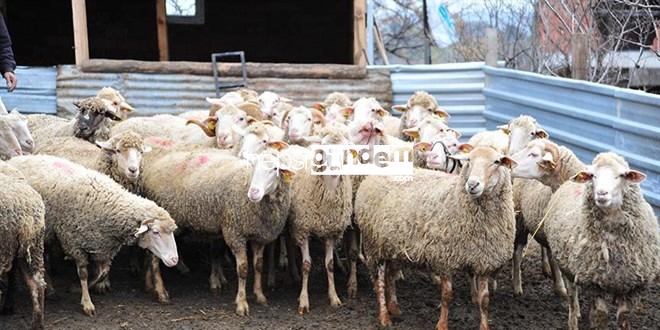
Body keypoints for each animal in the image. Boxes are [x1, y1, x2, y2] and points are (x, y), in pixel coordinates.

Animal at [139, 143, 292, 316]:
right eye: (253, 167)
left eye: (275, 168)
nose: (253, 193)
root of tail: (151, 168)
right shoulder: (234, 231)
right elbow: (243, 269)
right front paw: (241, 304)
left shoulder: (259, 236)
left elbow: (258, 266)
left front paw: (260, 296)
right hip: (160, 225)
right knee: (154, 257)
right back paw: (161, 291)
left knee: (149, 252)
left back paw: (149, 284)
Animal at [286, 125, 354, 314]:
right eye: (324, 149)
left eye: (345, 149)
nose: (336, 168)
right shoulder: (303, 229)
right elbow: (307, 265)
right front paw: (303, 300)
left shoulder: (331, 231)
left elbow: (329, 264)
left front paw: (334, 297)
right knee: (289, 245)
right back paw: (293, 273)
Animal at [354, 146, 520, 328]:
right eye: (468, 160)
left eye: (497, 162)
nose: (472, 185)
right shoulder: (445, 259)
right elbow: (447, 296)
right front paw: (442, 325)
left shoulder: (483, 263)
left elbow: (484, 300)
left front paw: (484, 326)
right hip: (373, 245)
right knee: (379, 282)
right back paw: (384, 316)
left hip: (394, 248)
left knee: (390, 276)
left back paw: (394, 308)